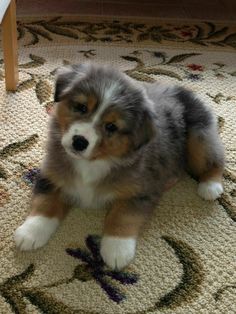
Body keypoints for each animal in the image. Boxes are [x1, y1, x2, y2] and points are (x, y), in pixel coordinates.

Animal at [14, 63, 225, 270]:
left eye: (111, 127)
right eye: (81, 107)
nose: (79, 142)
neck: (93, 162)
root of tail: (181, 90)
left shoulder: (140, 189)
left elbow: (123, 215)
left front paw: (117, 249)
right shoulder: (52, 174)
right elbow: (45, 202)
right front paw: (31, 232)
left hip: (199, 137)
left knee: (216, 160)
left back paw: (210, 186)